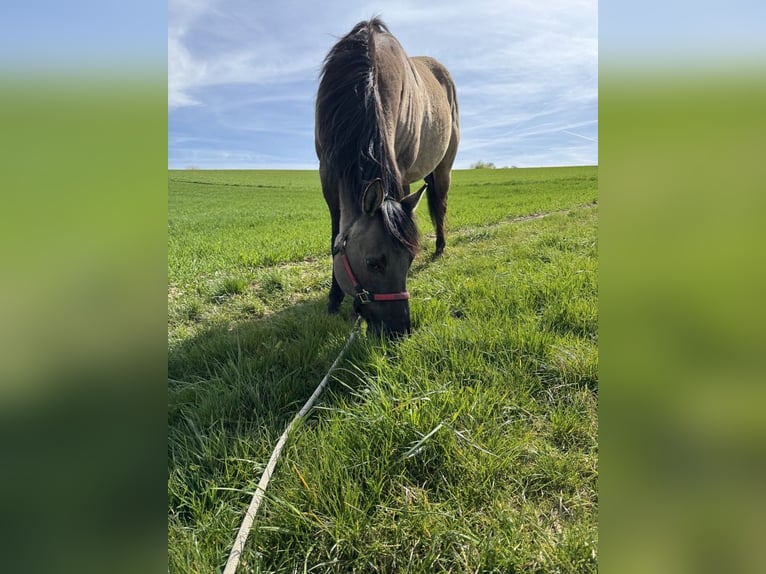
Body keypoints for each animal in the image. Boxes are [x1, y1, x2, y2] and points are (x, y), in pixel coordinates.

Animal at [315, 18, 460, 336]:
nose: (399, 330)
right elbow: (334, 236)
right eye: (374, 263)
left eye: (409, 258)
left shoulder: (400, 169)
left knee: (440, 205)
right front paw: (333, 300)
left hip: (442, 168)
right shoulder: (327, 173)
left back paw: (440, 248)